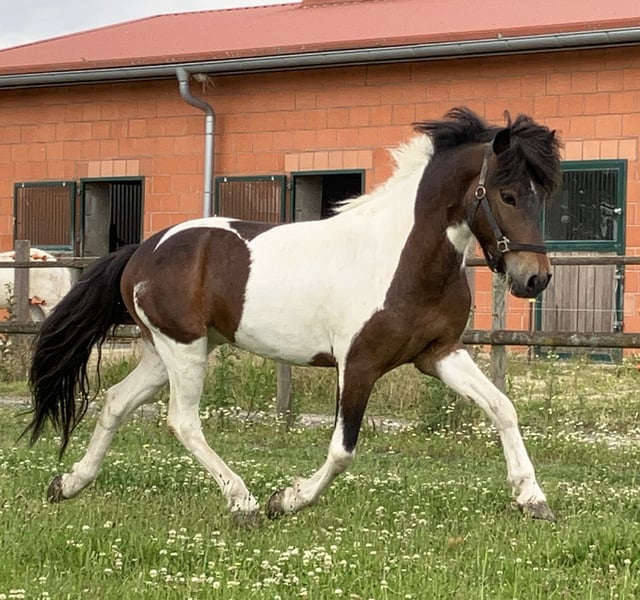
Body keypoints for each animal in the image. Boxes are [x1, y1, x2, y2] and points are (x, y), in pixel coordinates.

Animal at [24, 107, 561, 525]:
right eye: (507, 194)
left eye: (543, 195)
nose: (535, 279)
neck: (401, 255)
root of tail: (142, 249)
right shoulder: (358, 365)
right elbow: (343, 450)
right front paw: (287, 499)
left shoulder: (440, 354)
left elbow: (502, 408)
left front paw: (533, 498)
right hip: (184, 350)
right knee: (183, 421)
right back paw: (243, 502)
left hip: (168, 352)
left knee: (116, 401)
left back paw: (67, 483)